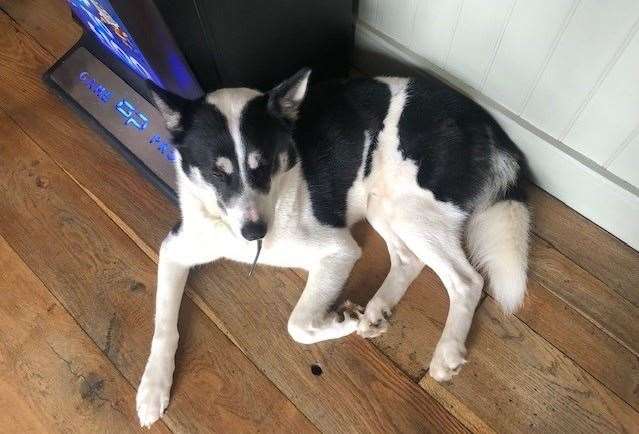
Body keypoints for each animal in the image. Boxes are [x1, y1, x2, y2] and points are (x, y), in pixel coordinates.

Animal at [138, 68, 532, 428]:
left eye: (263, 164)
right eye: (216, 171)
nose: (254, 232)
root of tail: (482, 118)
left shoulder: (338, 250)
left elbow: (297, 324)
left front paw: (342, 322)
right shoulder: (174, 249)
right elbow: (163, 324)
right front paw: (153, 386)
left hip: (412, 211)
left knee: (466, 281)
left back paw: (446, 350)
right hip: (381, 204)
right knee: (409, 259)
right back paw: (377, 310)